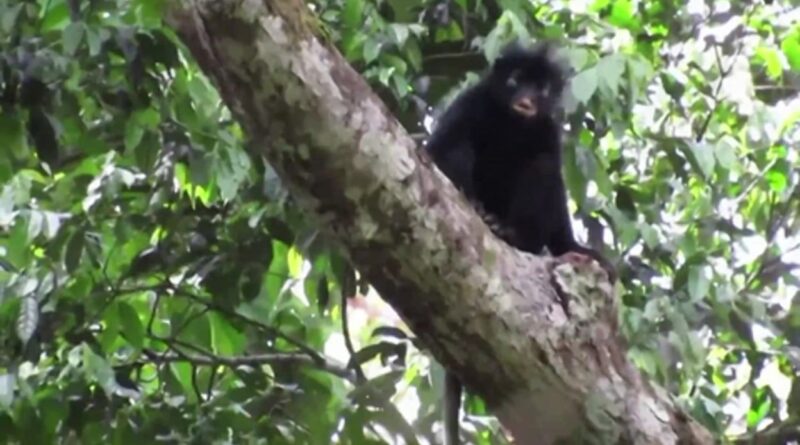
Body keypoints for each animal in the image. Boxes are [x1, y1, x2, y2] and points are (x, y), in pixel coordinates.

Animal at [424, 41, 615, 445]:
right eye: (515, 80)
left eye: (540, 88)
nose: (526, 100)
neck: (512, 124)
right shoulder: (469, 102)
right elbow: (438, 150)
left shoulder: (548, 129)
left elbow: (553, 185)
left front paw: (576, 248)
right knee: (461, 145)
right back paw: (479, 210)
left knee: (540, 167)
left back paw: (510, 234)